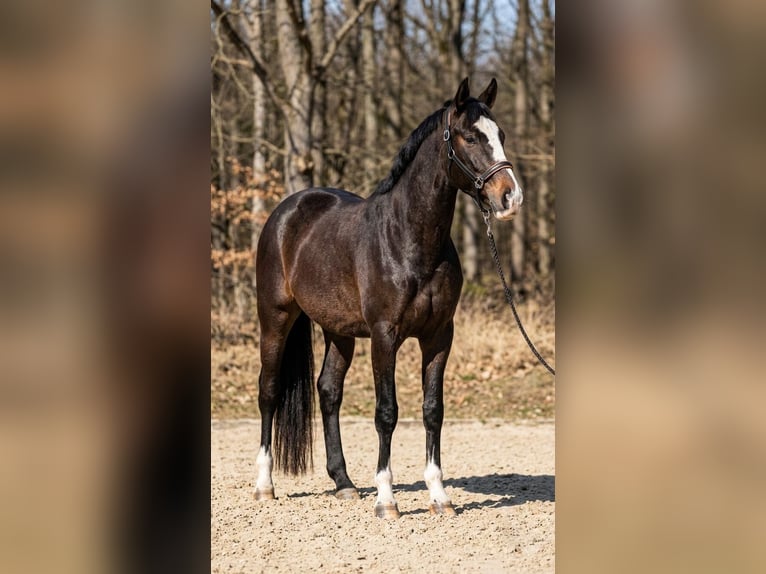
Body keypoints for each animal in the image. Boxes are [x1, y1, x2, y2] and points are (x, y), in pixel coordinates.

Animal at [254, 77, 523, 518]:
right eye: (469, 137)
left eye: (500, 135)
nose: (511, 198)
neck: (409, 239)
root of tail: (287, 211)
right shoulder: (384, 336)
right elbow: (387, 412)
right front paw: (386, 499)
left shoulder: (439, 337)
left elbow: (433, 411)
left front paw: (439, 496)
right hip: (275, 318)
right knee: (270, 391)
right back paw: (264, 485)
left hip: (339, 332)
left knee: (328, 391)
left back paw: (344, 484)